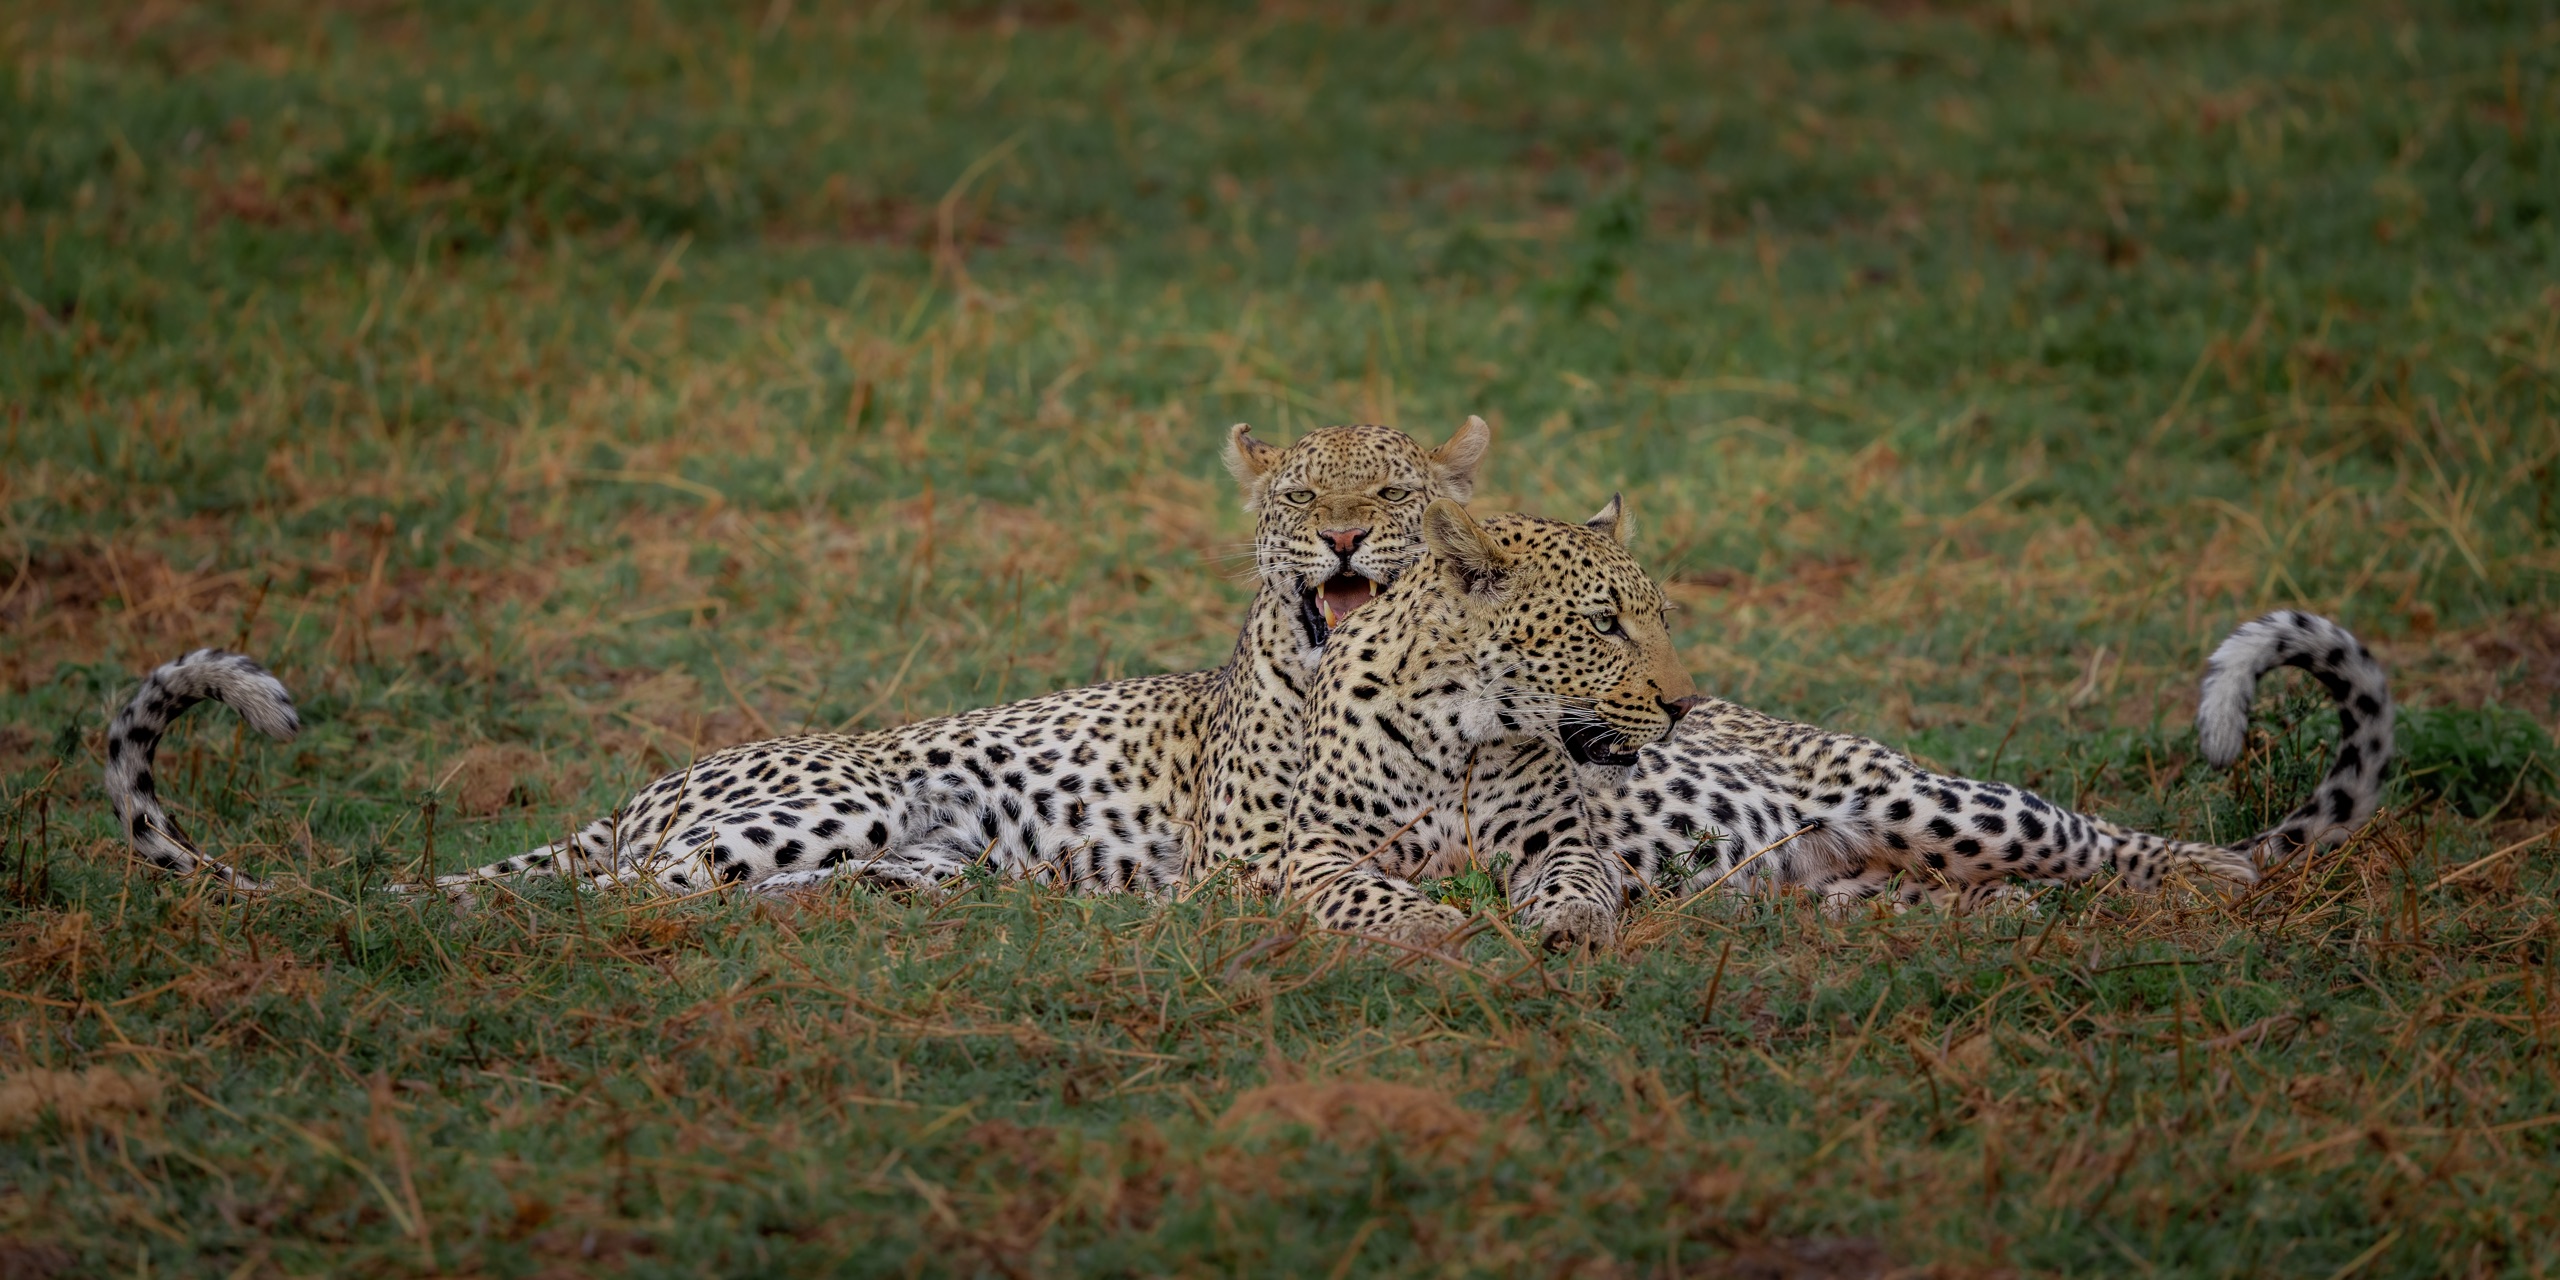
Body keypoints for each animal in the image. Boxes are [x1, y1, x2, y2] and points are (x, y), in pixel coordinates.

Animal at [98, 419, 1493, 898]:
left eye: (1393, 489)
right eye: (1301, 492)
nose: (1343, 533)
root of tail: (643, 787)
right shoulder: (1246, 850)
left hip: (926, 838)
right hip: (845, 796)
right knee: (627, 891)